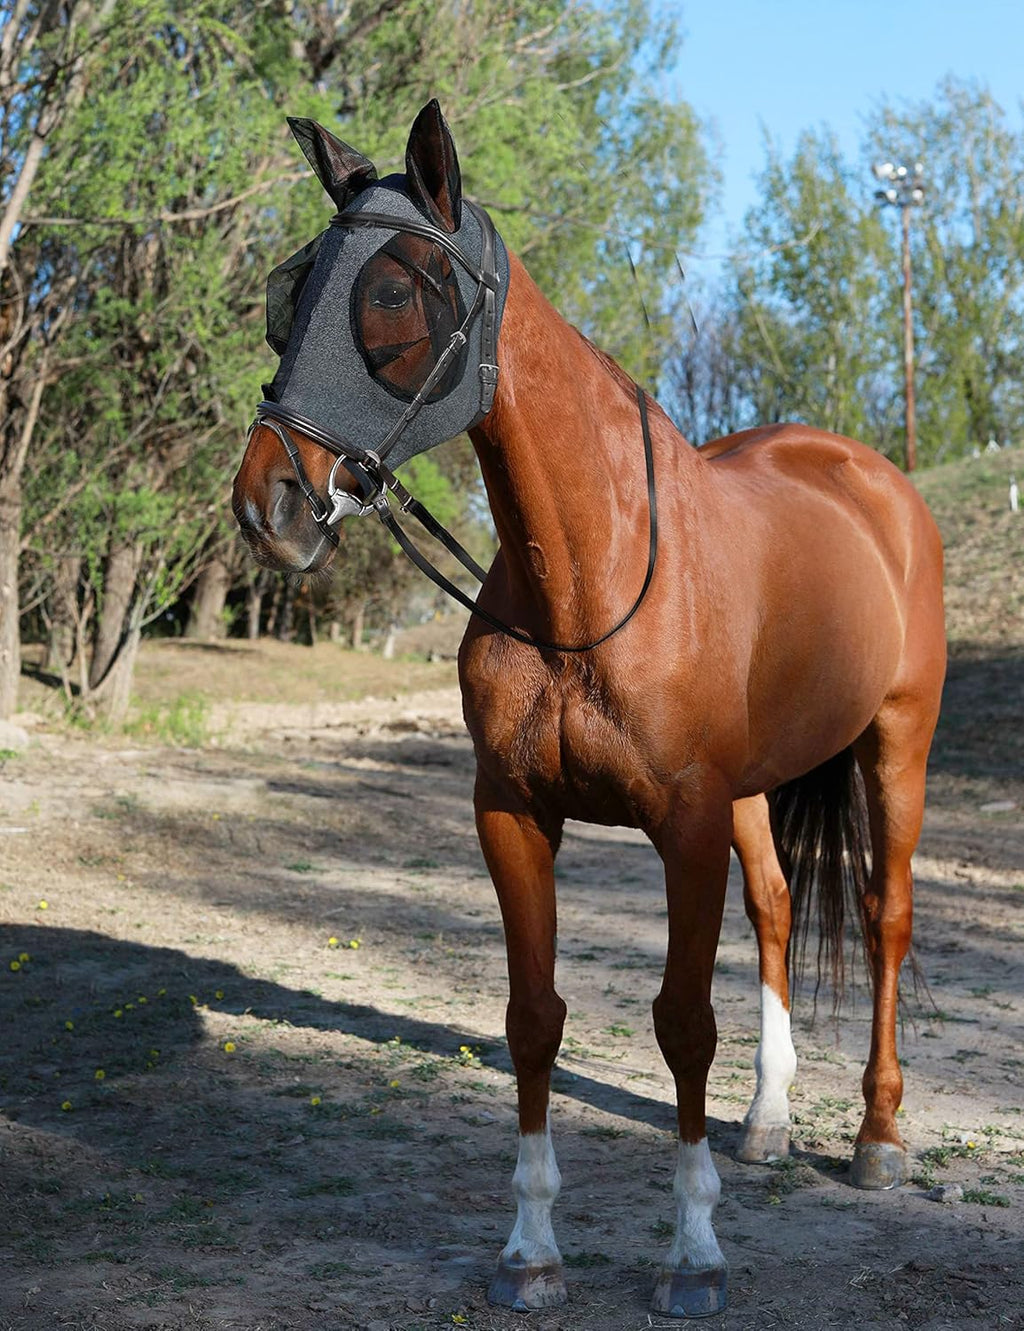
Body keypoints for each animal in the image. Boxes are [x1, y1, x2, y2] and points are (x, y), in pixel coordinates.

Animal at [232, 101, 946, 1318]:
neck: (590, 571)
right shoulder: (515, 813)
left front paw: (695, 1255)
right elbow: (534, 1021)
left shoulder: (685, 825)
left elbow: (682, 1022)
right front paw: (530, 1250)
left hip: (896, 743)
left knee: (885, 916)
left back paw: (877, 1137)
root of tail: (872, 478)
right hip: (756, 790)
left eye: (392, 292)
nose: (266, 499)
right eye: (295, 287)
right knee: (775, 909)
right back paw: (768, 1120)